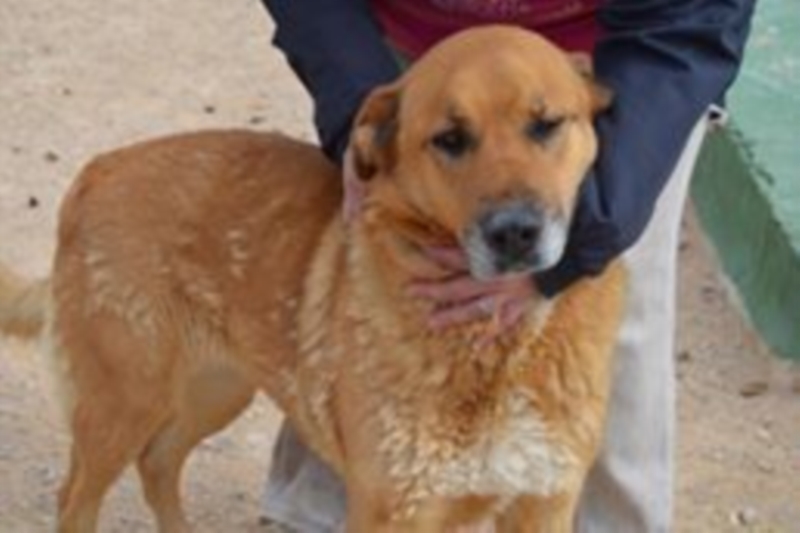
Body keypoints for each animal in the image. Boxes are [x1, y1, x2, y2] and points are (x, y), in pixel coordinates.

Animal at [0, 26, 625, 532]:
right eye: (450, 139)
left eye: (546, 125)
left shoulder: (543, 501)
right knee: (74, 497)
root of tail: (96, 171)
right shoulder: (393, 509)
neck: (494, 352)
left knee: (157, 464)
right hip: (123, 404)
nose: (515, 233)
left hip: (216, 390)